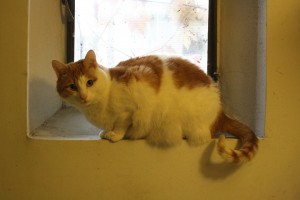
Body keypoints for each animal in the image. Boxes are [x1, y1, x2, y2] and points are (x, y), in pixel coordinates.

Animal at [51, 49, 258, 162]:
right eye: (72, 86)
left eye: (89, 82)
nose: (84, 96)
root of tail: (220, 112)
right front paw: (105, 132)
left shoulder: (135, 100)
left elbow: (122, 124)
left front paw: (115, 135)